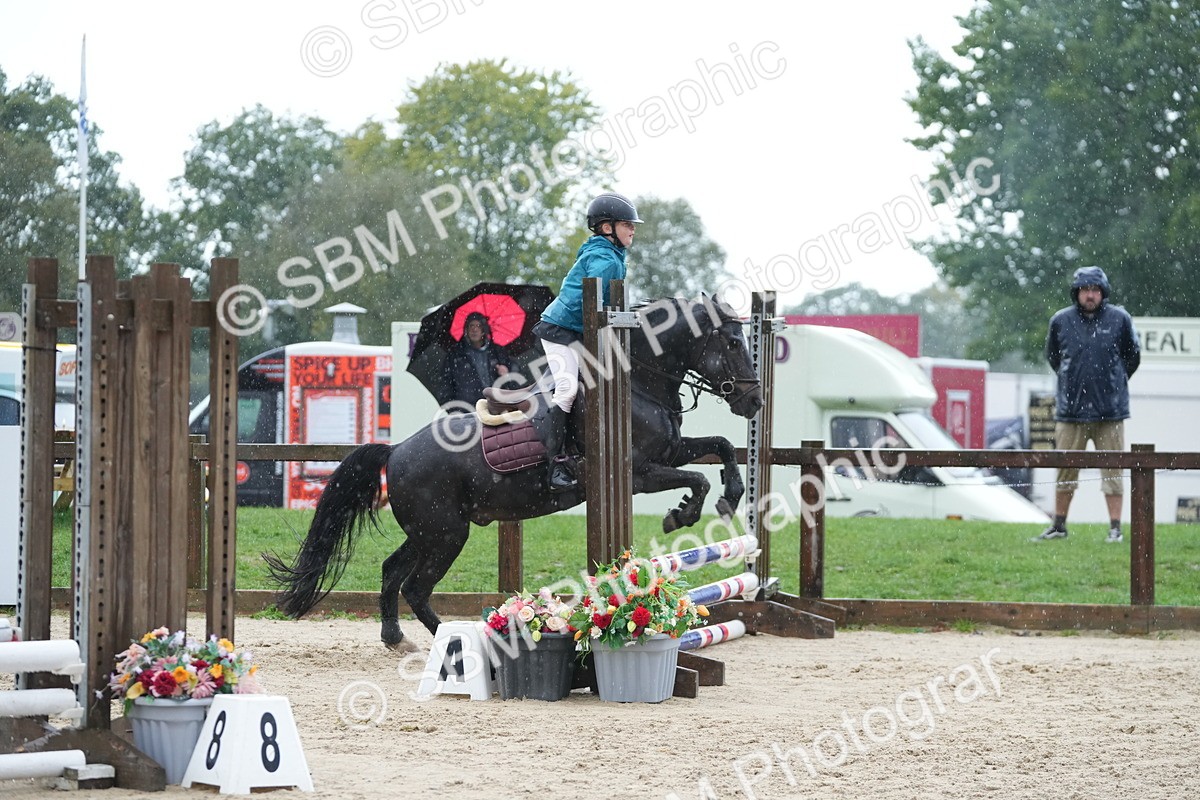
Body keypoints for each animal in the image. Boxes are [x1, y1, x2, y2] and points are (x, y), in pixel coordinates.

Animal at [266, 295, 764, 650]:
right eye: (732, 343)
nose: (754, 401)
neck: (639, 382)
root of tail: (396, 450)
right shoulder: (640, 473)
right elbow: (697, 479)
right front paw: (682, 513)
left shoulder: (673, 450)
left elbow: (720, 449)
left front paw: (732, 495)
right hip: (446, 534)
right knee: (416, 588)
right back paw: (460, 643)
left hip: (431, 531)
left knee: (392, 572)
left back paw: (396, 638)